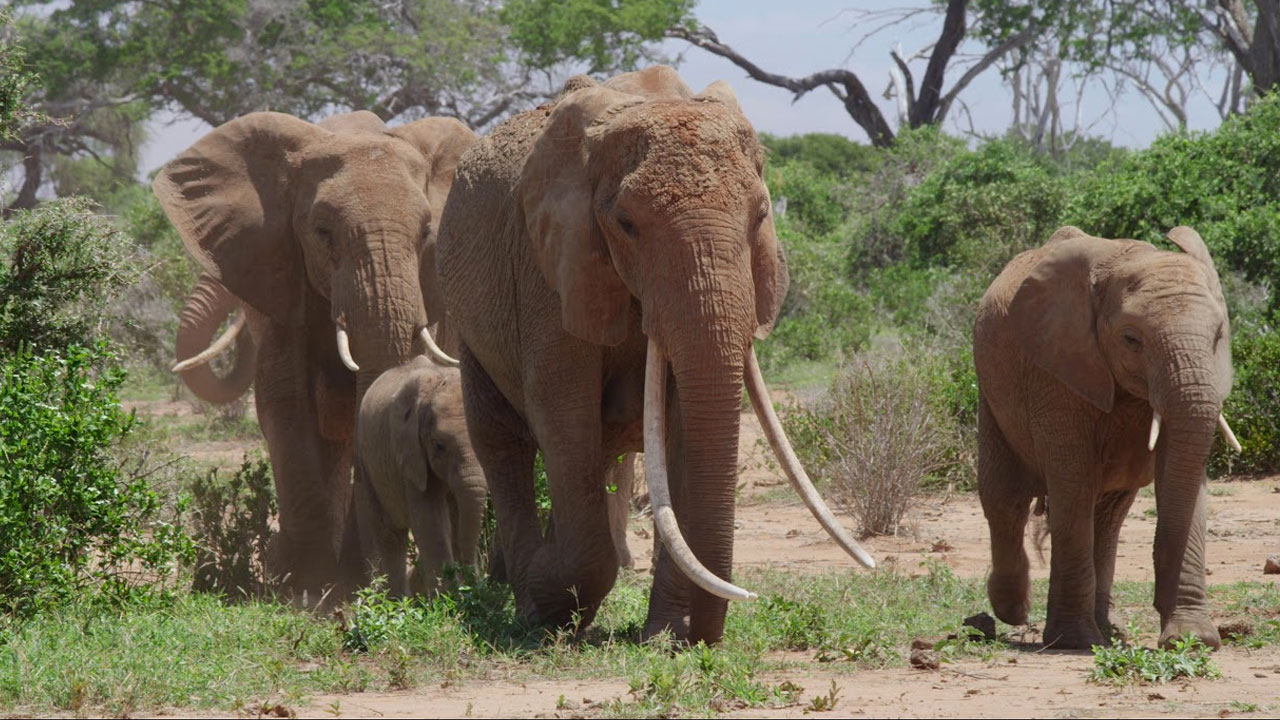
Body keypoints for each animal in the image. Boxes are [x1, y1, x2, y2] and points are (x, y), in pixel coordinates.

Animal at [355, 353, 483, 594]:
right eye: (439, 446)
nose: (474, 582)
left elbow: (456, 516)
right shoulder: (410, 456)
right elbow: (432, 522)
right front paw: (450, 599)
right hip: (366, 462)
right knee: (390, 536)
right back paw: (400, 601)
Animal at [435, 64, 875, 640]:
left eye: (760, 215)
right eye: (627, 225)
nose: (702, 635)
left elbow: (684, 421)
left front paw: (667, 636)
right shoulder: (548, 270)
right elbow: (561, 407)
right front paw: (551, 605)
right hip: (468, 319)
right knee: (504, 440)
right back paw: (535, 601)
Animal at [977, 225, 1239, 650]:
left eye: (1218, 336)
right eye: (1131, 339)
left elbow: (1180, 476)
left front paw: (1191, 640)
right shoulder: (1054, 368)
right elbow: (1073, 479)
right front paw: (1073, 641)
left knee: (1107, 515)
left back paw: (1108, 631)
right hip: (990, 388)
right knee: (1005, 498)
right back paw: (1013, 612)